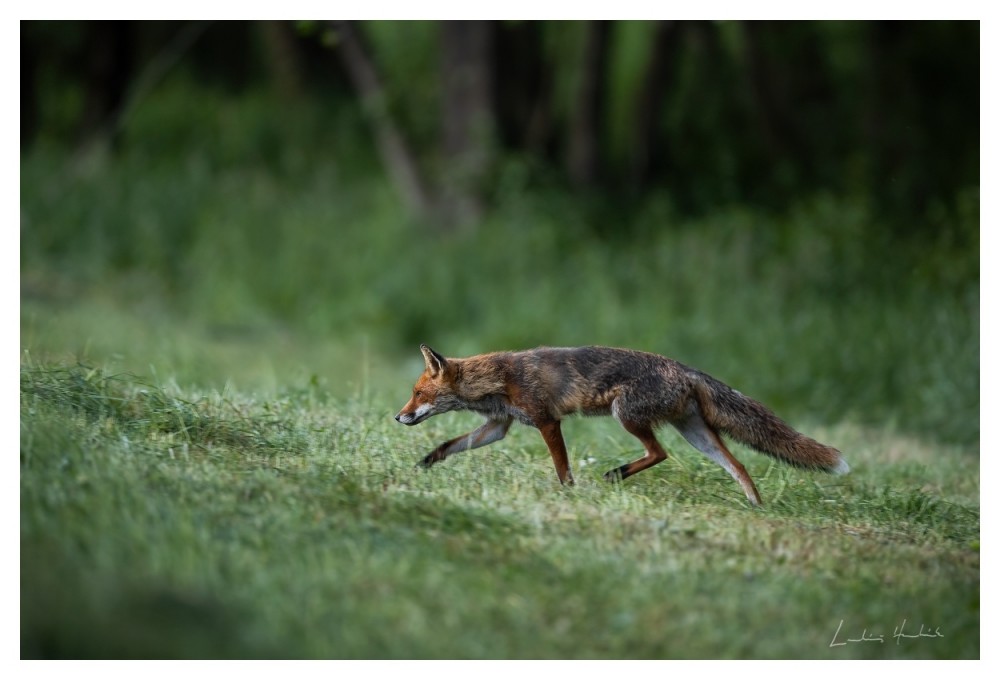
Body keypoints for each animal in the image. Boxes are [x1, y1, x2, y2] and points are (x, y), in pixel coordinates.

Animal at [394, 346, 848, 504]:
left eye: (416, 394)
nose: (397, 417)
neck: (498, 378)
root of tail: (686, 368)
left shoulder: (546, 420)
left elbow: (562, 469)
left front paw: (569, 495)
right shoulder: (499, 426)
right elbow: (452, 444)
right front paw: (424, 463)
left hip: (625, 414)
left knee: (659, 452)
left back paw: (616, 474)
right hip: (696, 435)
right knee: (738, 466)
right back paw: (755, 505)